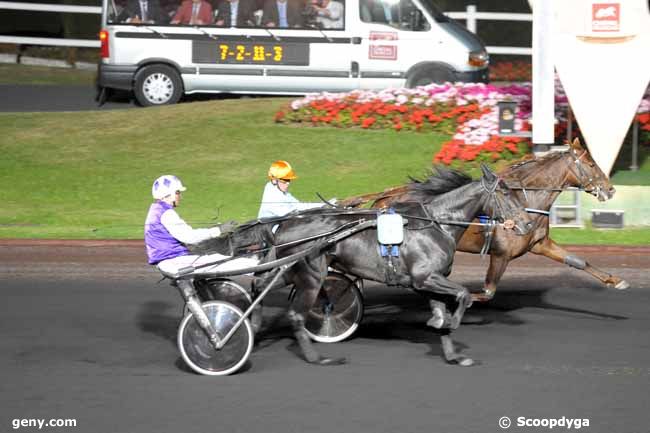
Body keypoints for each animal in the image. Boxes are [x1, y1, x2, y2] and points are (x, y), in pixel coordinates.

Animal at [246, 164, 528, 366]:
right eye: (505, 192)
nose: (526, 223)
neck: (436, 224)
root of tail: (285, 223)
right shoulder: (425, 277)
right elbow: (464, 294)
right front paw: (451, 324)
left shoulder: (432, 280)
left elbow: (444, 310)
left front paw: (453, 354)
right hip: (312, 275)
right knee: (295, 314)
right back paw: (318, 358)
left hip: (290, 270)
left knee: (259, 283)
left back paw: (255, 325)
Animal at [340, 138, 624, 300]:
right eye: (591, 164)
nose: (610, 189)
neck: (525, 200)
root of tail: (383, 198)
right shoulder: (501, 255)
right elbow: (486, 293)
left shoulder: (539, 243)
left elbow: (577, 261)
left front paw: (615, 280)